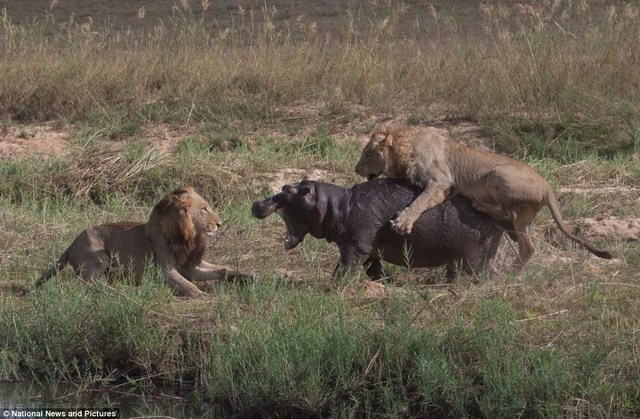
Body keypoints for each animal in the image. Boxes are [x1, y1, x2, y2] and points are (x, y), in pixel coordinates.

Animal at [35, 187, 252, 298]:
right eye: (204, 209)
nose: (219, 223)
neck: (189, 236)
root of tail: (71, 244)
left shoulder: (190, 266)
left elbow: (222, 269)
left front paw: (245, 275)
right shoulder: (164, 270)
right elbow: (189, 287)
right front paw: (205, 296)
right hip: (99, 257)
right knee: (84, 285)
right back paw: (122, 290)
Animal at [252, 179, 508, 280]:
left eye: (288, 189)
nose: (256, 204)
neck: (339, 205)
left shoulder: (355, 246)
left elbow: (344, 268)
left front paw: (332, 285)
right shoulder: (369, 250)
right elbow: (374, 271)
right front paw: (387, 282)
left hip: (472, 257)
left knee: (481, 275)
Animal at [358, 124, 612, 272]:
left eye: (367, 154)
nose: (355, 168)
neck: (405, 143)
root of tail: (548, 186)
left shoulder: (442, 182)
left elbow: (420, 201)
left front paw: (402, 222)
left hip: (496, 173)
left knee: (508, 212)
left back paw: (479, 204)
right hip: (522, 221)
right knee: (527, 247)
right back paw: (511, 274)